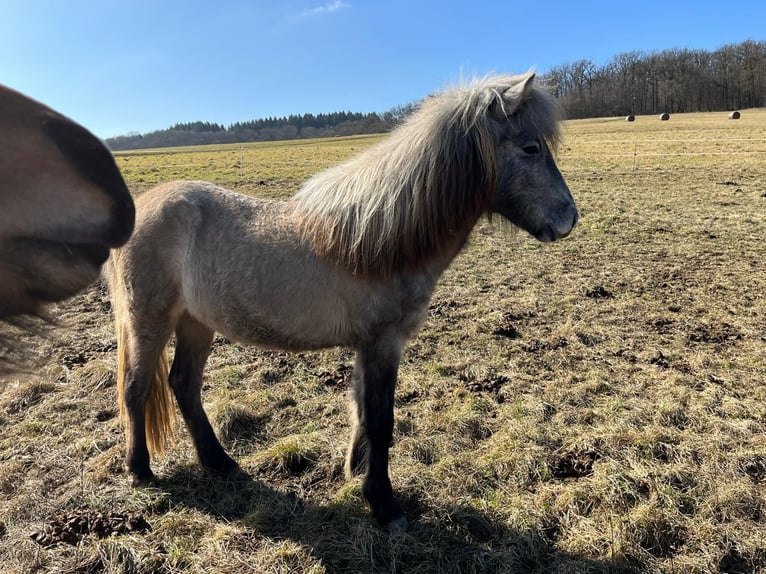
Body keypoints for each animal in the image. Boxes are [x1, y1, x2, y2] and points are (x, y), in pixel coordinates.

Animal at [106, 72, 576, 532]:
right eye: (531, 147)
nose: (569, 220)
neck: (381, 241)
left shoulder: (370, 348)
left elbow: (363, 411)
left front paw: (358, 472)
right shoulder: (382, 344)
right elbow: (381, 419)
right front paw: (384, 505)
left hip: (196, 323)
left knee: (184, 385)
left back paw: (221, 464)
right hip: (148, 319)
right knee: (136, 387)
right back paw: (141, 471)